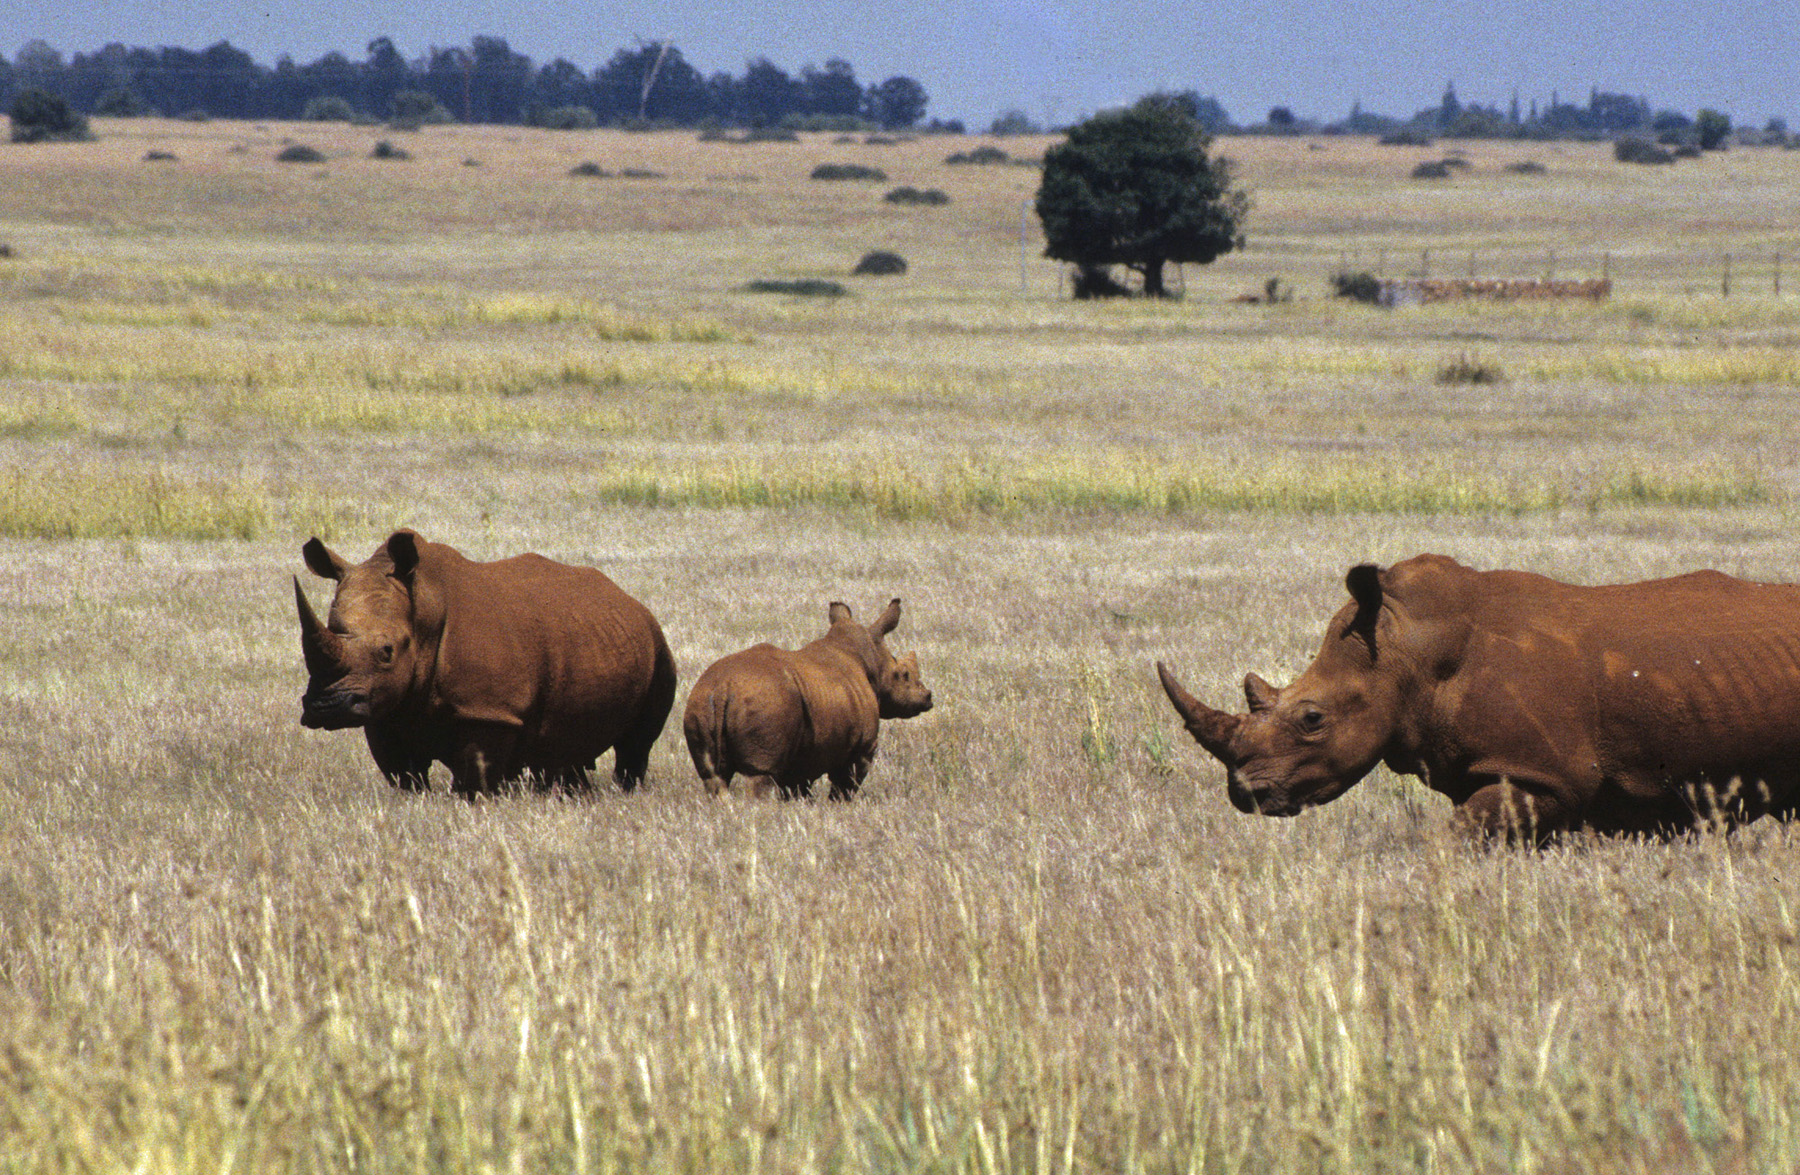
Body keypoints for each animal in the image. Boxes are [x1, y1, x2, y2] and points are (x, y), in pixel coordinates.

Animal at [294, 529, 676, 796]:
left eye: (387, 651)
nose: (327, 707)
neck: (423, 611)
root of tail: (629, 599)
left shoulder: (489, 710)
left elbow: (473, 780)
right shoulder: (384, 707)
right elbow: (405, 776)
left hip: (658, 644)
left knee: (635, 746)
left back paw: (626, 791)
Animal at [682, 598, 933, 800]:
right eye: (904, 675)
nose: (928, 697)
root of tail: (722, 688)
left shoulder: (804, 754)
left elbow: (798, 789)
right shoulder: (862, 748)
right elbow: (845, 785)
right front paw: (838, 807)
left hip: (700, 701)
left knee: (712, 776)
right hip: (766, 702)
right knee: (760, 777)